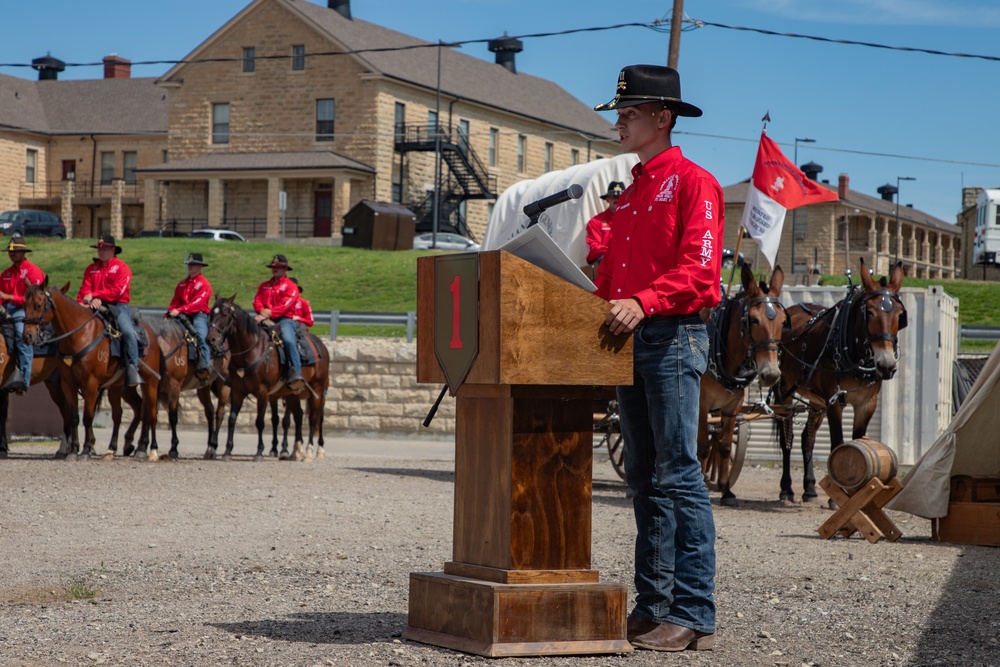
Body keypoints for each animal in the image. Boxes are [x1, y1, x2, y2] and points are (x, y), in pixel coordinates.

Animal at [20, 280, 162, 462]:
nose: (28, 336)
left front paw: (86, 451)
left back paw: (151, 451)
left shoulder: (91, 383)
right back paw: (113, 449)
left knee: (151, 413)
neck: (80, 335)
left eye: (38, 305)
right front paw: (73, 451)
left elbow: (88, 417)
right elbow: (74, 417)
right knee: (120, 414)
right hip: (117, 387)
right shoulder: (68, 384)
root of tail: (151, 333)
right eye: (24, 305)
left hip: (150, 382)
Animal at [147, 318, 231, 460]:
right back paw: (208, 448)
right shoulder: (154, 388)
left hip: (223, 383)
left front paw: (173, 449)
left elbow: (173, 417)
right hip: (203, 386)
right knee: (209, 411)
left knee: (219, 413)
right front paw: (152, 449)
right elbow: (152, 415)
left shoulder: (174, 386)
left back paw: (213, 447)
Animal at [205, 294, 330, 462]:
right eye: (211, 313)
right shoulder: (237, 391)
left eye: (225, 314)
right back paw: (296, 451)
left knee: (314, 418)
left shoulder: (262, 392)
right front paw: (227, 451)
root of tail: (321, 345)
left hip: (317, 389)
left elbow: (260, 421)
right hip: (292, 394)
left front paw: (259, 451)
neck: (252, 351)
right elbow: (232, 419)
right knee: (299, 416)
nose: (210, 339)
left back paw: (310, 452)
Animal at [700, 262, 784, 506]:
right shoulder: (700, 405)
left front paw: (726, 490)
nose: (771, 374)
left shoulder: (732, 406)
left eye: (784, 321)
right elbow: (702, 448)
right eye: (754, 320)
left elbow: (724, 446)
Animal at [772, 260, 908, 500]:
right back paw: (786, 488)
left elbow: (859, 440)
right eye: (869, 312)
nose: (886, 365)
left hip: (816, 401)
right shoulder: (834, 401)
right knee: (787, 436)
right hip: (786, 390)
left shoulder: (867, 404)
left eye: (900, 315)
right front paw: (837, 497)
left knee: (807, 438)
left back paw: (809, 488)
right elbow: (838, 443)